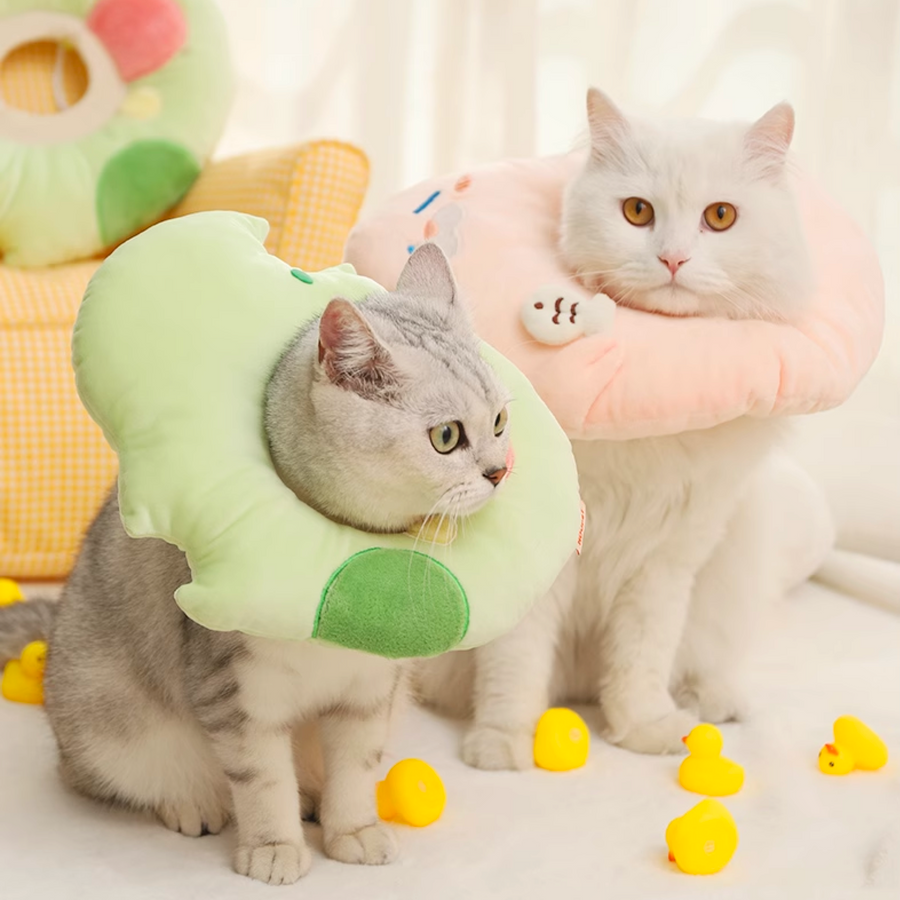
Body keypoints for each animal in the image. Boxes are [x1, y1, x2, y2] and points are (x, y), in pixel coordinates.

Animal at [0, 243, 512, 884]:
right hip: (108, 724)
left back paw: (311, 799)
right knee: (100, 777)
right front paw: (273, 847)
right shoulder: (238, 691)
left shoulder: (370, 693)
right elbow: (262, 779)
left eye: (500, 422)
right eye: (446, 436)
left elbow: (356, 770)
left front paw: (353, 831)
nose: (501, 471)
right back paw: (192, 803)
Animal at [418, 88, 813, 763]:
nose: (673, 258)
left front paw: (646, 731)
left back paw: (713, 703)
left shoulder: (666, 563)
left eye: (721, 217)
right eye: (637, 212)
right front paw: (501, 743)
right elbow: (515, 667)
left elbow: (641, 661)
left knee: (701, 664)